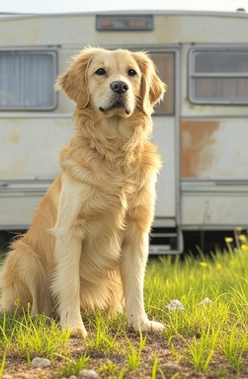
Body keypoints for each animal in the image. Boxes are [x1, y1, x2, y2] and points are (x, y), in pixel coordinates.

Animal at [0, 46, 167, 336]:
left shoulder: (137, 232)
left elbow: (136, 284)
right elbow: (69, 284)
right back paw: (42, 320)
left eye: (132, 73)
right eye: (100, 71)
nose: (120, 86)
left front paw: (140, 323)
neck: (114, 151)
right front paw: (73, 327)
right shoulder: (70, 231)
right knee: (30, 308)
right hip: (23, 254)